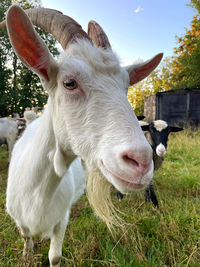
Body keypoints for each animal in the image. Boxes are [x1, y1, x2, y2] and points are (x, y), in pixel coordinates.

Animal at [0, 5, 162, 266]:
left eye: (126, 86)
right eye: (69, 82)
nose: (141, 162)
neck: (37, 191)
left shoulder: (61, 218)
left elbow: (55, 256)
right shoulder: (16, 216)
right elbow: (25, 236)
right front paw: (26, 254)